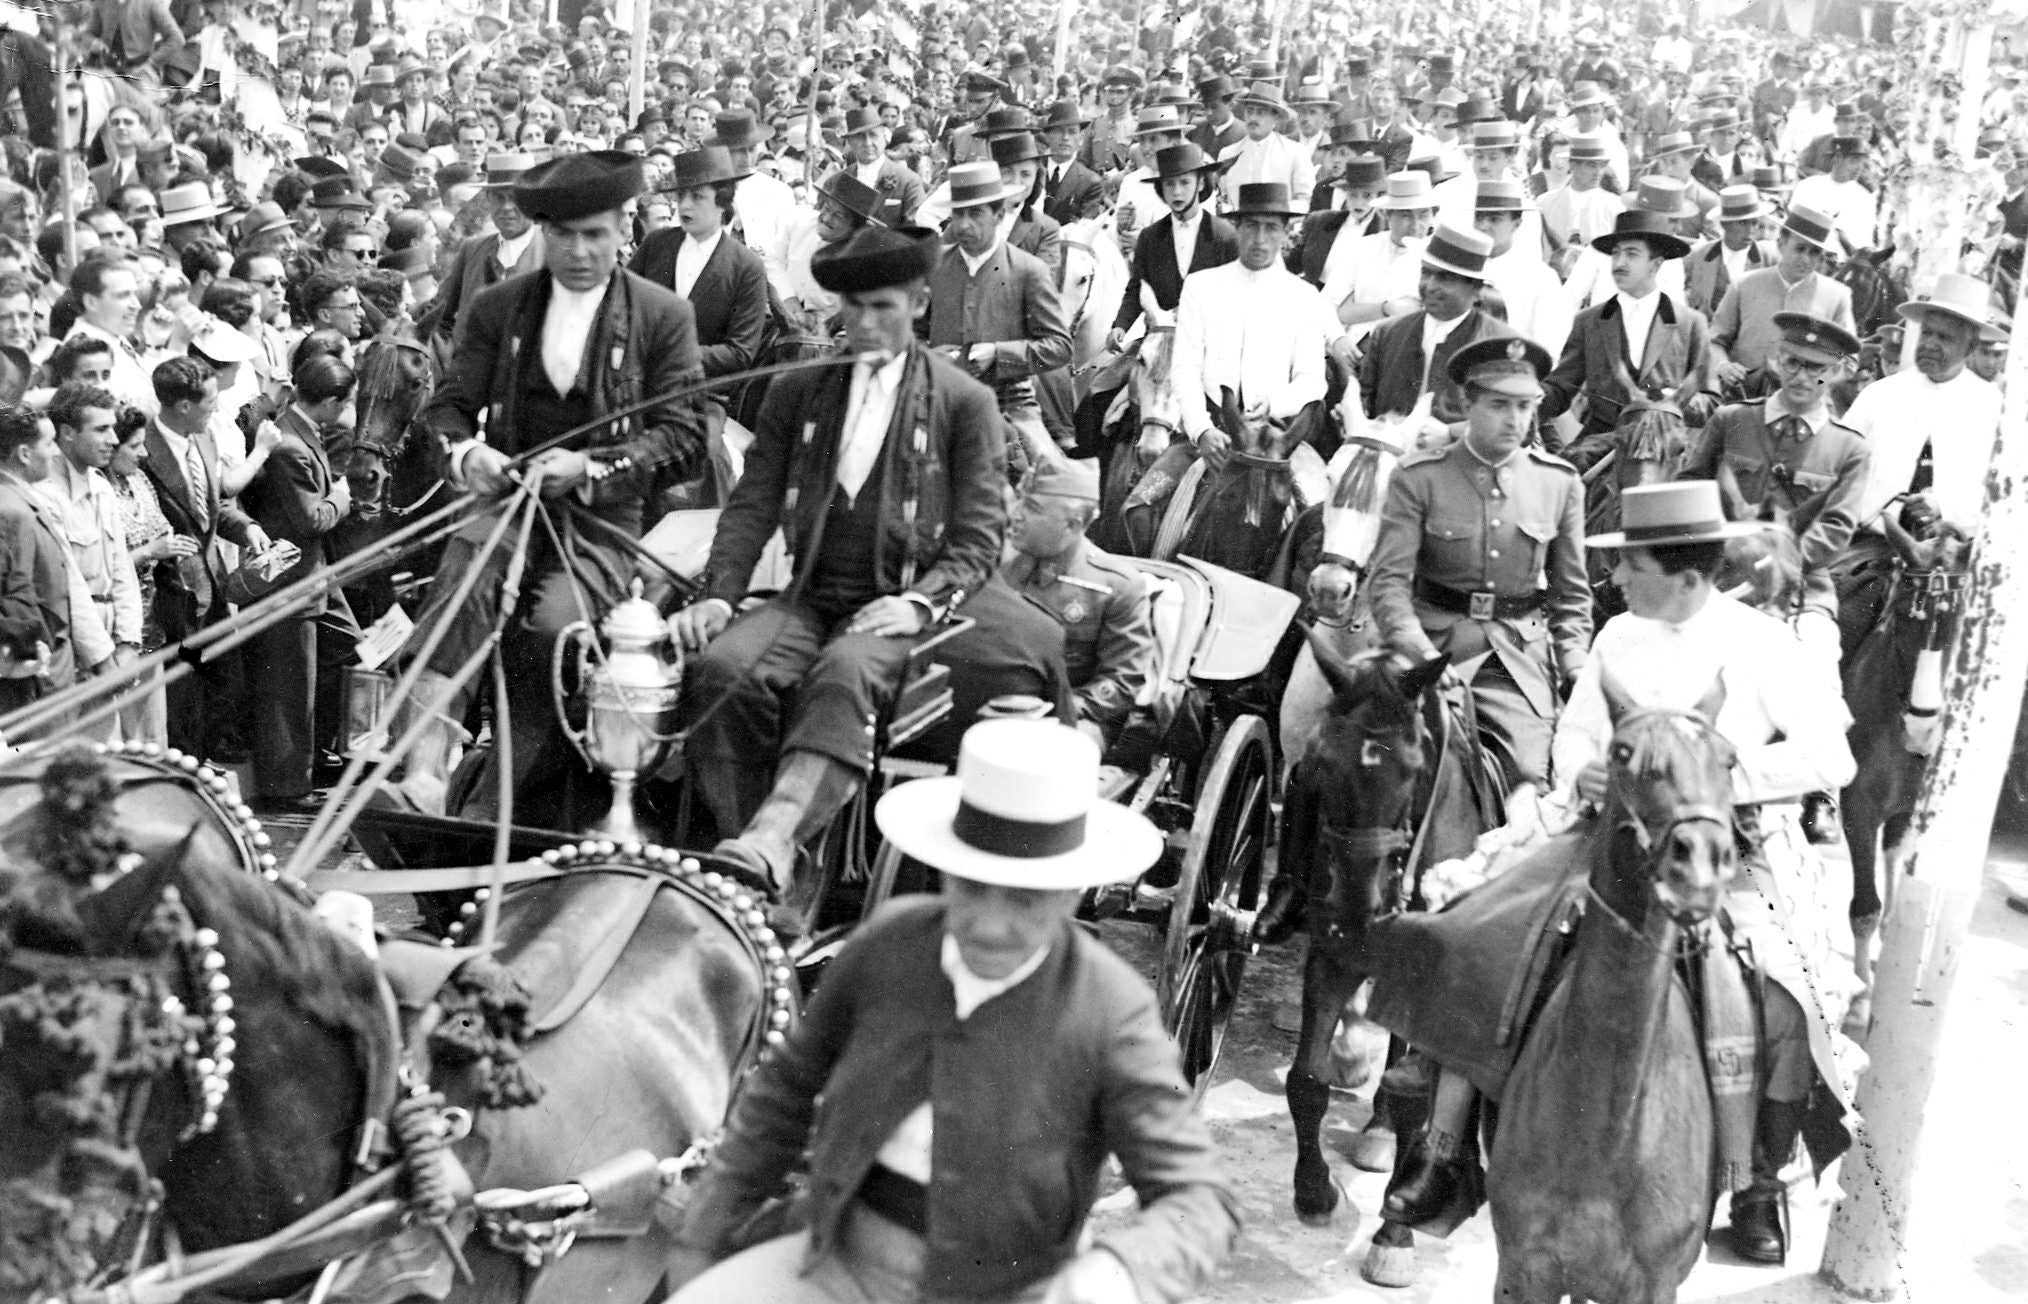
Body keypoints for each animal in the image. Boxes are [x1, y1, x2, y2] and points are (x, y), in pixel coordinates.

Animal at [1273, 640, 1500, 1233]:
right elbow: (1305, 1081)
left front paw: (1398, 1221)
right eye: (1320, 764)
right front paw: (1314, 1190)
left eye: (1412, 770)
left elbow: (1414, 1101)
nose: (1358, 908)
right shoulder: (1331, 954)